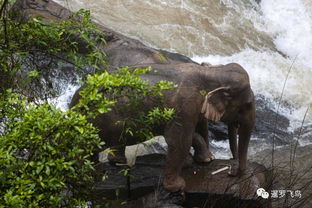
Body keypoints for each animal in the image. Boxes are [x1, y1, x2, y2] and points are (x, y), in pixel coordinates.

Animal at [69, 61, 255, 192]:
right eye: (247, 105)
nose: (230, 171)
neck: (212, 72)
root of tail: (73, 103)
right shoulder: (185, 106)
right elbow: (179, 140)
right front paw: (177, 186)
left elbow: (194, 132)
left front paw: (202, 160)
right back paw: (88, 178)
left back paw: (116, 163)